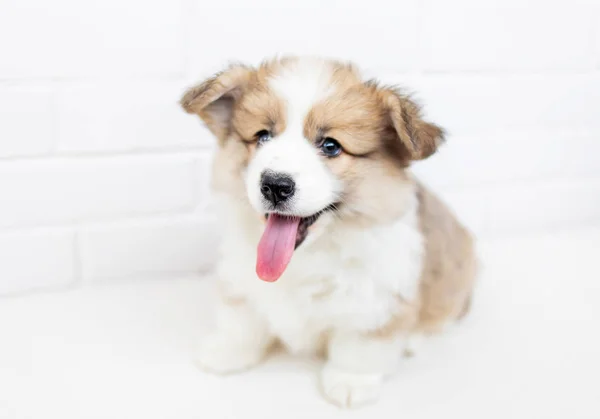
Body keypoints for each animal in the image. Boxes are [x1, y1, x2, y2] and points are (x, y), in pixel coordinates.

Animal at [180, 55, 476, 406]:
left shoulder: (376, 298)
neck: (306, 257)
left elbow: (361, 345)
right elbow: (241, 318)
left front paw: (350, 381)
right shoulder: (239, 276)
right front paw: (227, 351)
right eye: (263, 136)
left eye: (331, 146)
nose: (275, 185)